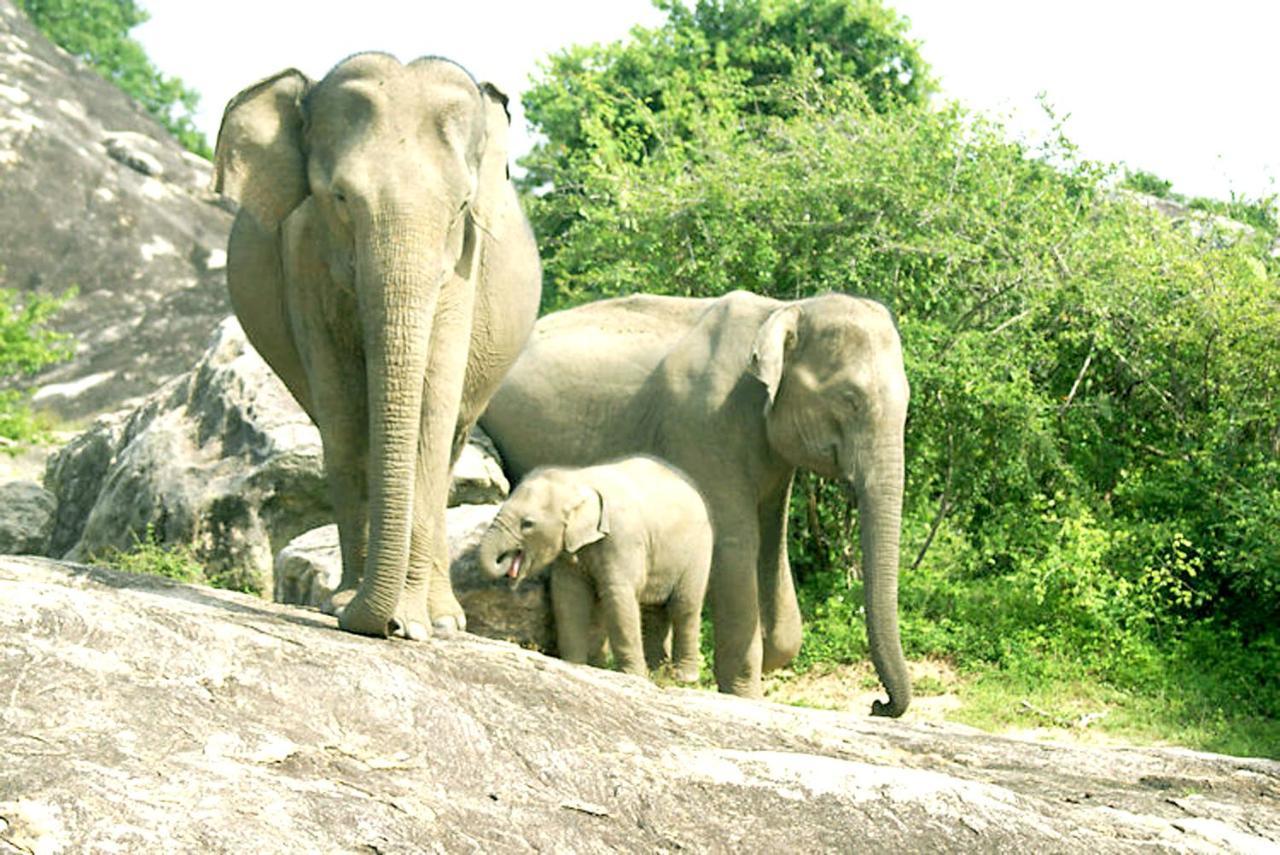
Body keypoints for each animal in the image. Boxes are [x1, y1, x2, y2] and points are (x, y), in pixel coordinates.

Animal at [213, 53, 540, 637]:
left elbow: (432, 411)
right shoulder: (303, 252)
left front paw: (411, 625)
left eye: (461, 205)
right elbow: (344, 410)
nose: (383, 626)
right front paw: (352, 610)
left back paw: (445, 620)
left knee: (452, 441)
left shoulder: (464, 267)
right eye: (340, 198)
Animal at [476, 458, 716, 686]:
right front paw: (576, 667)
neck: (577, 479)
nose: (507, 566)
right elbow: (568, 597)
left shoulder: (622, 538)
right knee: (654, 611)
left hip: (698, 551)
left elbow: (617, 596)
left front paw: (634, 677)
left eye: (527, 524)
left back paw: (683, 678)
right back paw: (658, 673)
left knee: (684, 606)